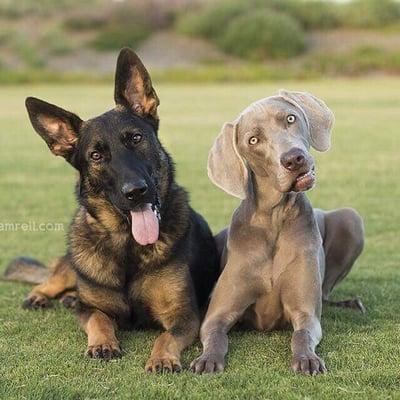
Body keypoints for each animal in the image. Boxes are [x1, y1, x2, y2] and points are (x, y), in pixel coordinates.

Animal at [5, 48, 219, 374]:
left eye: (136, 138)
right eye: (96, 155)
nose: (135, 191)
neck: (128, 246)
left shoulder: (184, 315)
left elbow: (166, 336)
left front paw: (162, 358)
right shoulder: (91, 308)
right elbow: (98, 318)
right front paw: (103, 343)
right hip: (73, 263)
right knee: (56, 275)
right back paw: (42, 295)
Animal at [191, 90, 366, 376]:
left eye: (290, 118)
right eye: (253, 140)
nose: (294, 159)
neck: (274, 218)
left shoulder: (305, 312)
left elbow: (302, 334)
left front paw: (307, 359)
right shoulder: (217, 315)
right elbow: (215, 335)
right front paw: (207, 360)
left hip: (351, 220)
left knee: (325, 294)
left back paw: (349, 304)